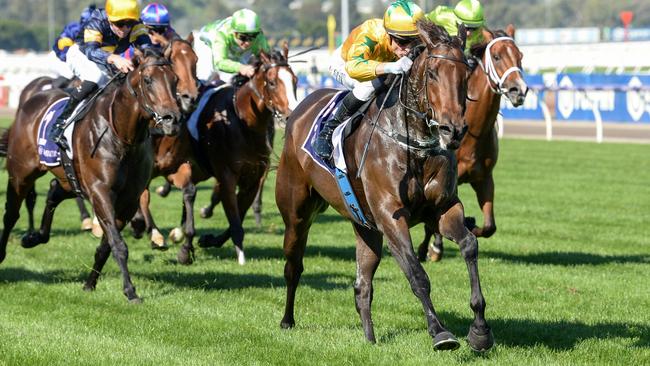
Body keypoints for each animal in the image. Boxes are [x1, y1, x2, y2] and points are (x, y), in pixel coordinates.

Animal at [0, 48, 180, 304]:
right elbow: (118, 244)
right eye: (148, 80)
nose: (172, 119)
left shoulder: (128, 199)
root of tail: (28, 101)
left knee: (53, 191)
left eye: (175, 80)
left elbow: (107, 245)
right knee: (11, 215)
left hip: (70, 178)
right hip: (21, 174)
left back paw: (34, 237)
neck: (122, 135)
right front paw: (130, 291)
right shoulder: (100, 191)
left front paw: (89, 284)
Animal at [190, 45, 296, 264]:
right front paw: (241, 258)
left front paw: (209, 239)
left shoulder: (253, 179)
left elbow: (236, 217)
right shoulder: (227, 176)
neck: (244, 124)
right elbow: (234, 217)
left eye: (295, 80)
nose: (291, 114)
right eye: (272, 82)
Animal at [274, 20, 492, 352]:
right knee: (293, 266)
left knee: (362, 286)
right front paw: (440, 332)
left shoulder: (443, 207)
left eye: (466, 75)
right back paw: (287, 320)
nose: (452, 130)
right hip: (296, 213)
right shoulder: (391, 216)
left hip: (365, 226)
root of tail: (299, 110)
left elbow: (469, 245)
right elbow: (417, 273)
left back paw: (370, 339)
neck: (414, 145)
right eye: (432, 73)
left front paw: (479, 329)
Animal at [416, 25, 528, 264]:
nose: (519, 90)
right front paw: (434, 249)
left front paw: (470, 223)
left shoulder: (484, 177)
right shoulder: (445, 182)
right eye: (496, 56)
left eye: (520, 56)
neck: (473, 133)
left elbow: (489, 226)